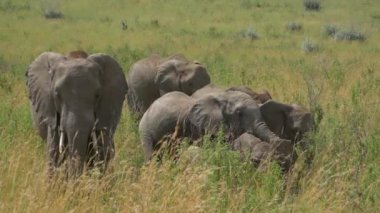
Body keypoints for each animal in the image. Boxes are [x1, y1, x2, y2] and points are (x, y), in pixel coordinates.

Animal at [138, 90, 286, 162]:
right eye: (239, 113)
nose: (282, 141)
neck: (222, 97)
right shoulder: (203, 127)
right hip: (145, 129)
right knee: (150, 152)